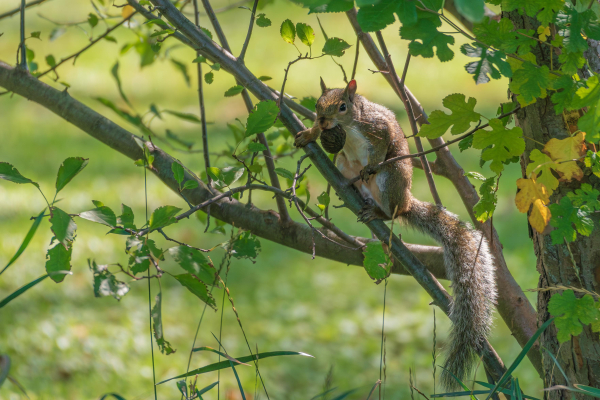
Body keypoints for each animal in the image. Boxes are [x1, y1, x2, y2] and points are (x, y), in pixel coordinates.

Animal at [296, 78, 496, 388]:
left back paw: (377, 209)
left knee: (392, 212)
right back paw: (351, 190)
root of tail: (406, 201)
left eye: (342, 106)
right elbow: (316, 135)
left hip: (391, 177)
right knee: (350, 172)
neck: (350, 125)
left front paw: (368, 163)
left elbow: (381, 145)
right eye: (317, 105)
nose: (323, 121)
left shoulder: (378, 129)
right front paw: (308, 134)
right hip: (343, 162)